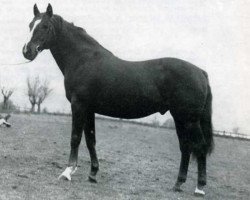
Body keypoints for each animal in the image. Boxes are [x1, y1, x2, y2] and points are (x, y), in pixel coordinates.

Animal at [22, 3, 213, 196]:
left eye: (45, 26)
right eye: (30, 25)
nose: (27, 51)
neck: (83, 59)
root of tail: (200, 72)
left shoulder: (79, 105)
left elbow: (75, 137)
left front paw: (67, 172)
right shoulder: (89, 109)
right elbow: (90, 140)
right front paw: (93, 174)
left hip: (189, 120)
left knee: (200, 147)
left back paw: (199, 188)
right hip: (180, 118)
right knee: (185, 147)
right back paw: (178, 184)